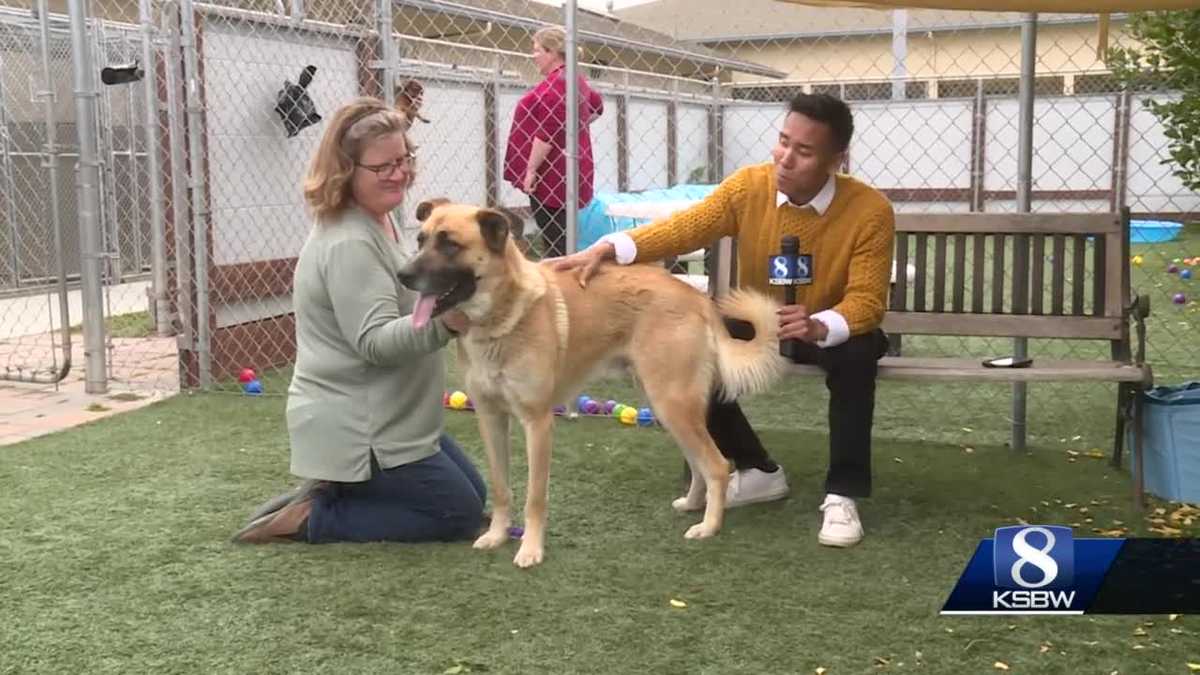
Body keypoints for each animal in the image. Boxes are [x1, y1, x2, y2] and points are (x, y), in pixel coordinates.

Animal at [400, 196, 787, 564]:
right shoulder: (490, 418)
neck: (501, 317)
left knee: (717, 465)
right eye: (420, 240)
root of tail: (696, 296)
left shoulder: (538, 423)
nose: (403, 275)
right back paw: (693, 505)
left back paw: (709, 526)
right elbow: (500, 487)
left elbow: (534, 496)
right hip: (666, 406)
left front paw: (531, 549)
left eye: (450, 244)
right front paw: (496, 535)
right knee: (698, 464)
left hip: (672, 404)